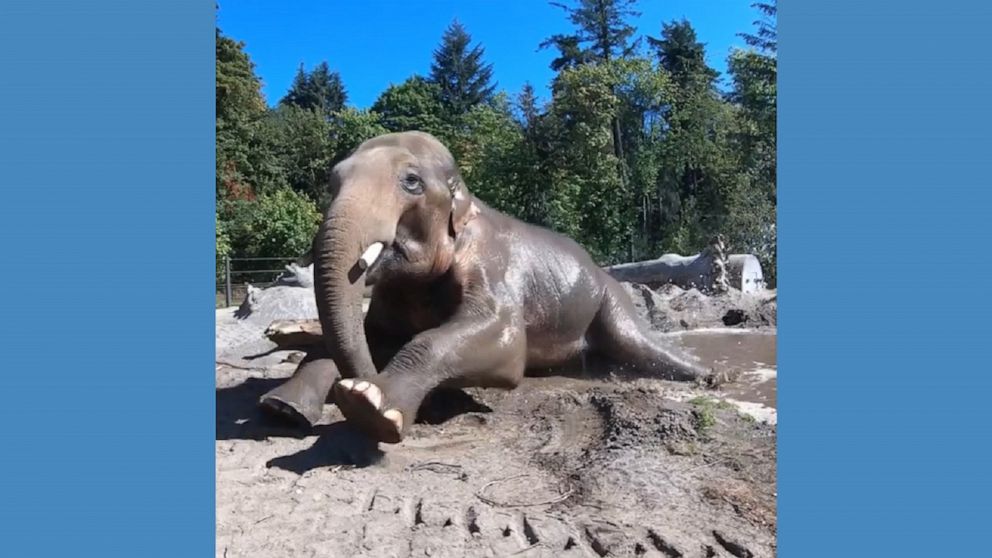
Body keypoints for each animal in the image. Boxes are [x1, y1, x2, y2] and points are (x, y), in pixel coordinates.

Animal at [260, 132, 716, 446]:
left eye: (411, 181)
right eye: (332, 182)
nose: (366, 375)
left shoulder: (494, 267)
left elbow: (502, 343)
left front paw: (370, 406)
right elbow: (369, 336)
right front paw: (283, 407)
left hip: (611, 300)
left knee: (636, 343)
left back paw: (710, 375)